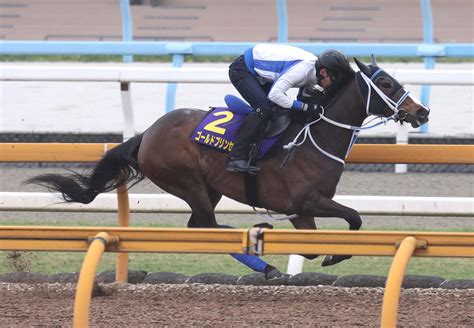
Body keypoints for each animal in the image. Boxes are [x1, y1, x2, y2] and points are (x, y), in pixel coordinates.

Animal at [28, 56, 430, 266]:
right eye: (387, 83)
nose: (421, 111)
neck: (316, 135)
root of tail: (148, 133)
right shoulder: (306, 201)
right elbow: (354, 218)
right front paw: (334, 256)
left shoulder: (301, 210)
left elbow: (316, 243)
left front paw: (329, 255)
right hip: (186, 180)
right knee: (207, 226)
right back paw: (259, 246)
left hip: (209, 187)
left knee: (199, 226)